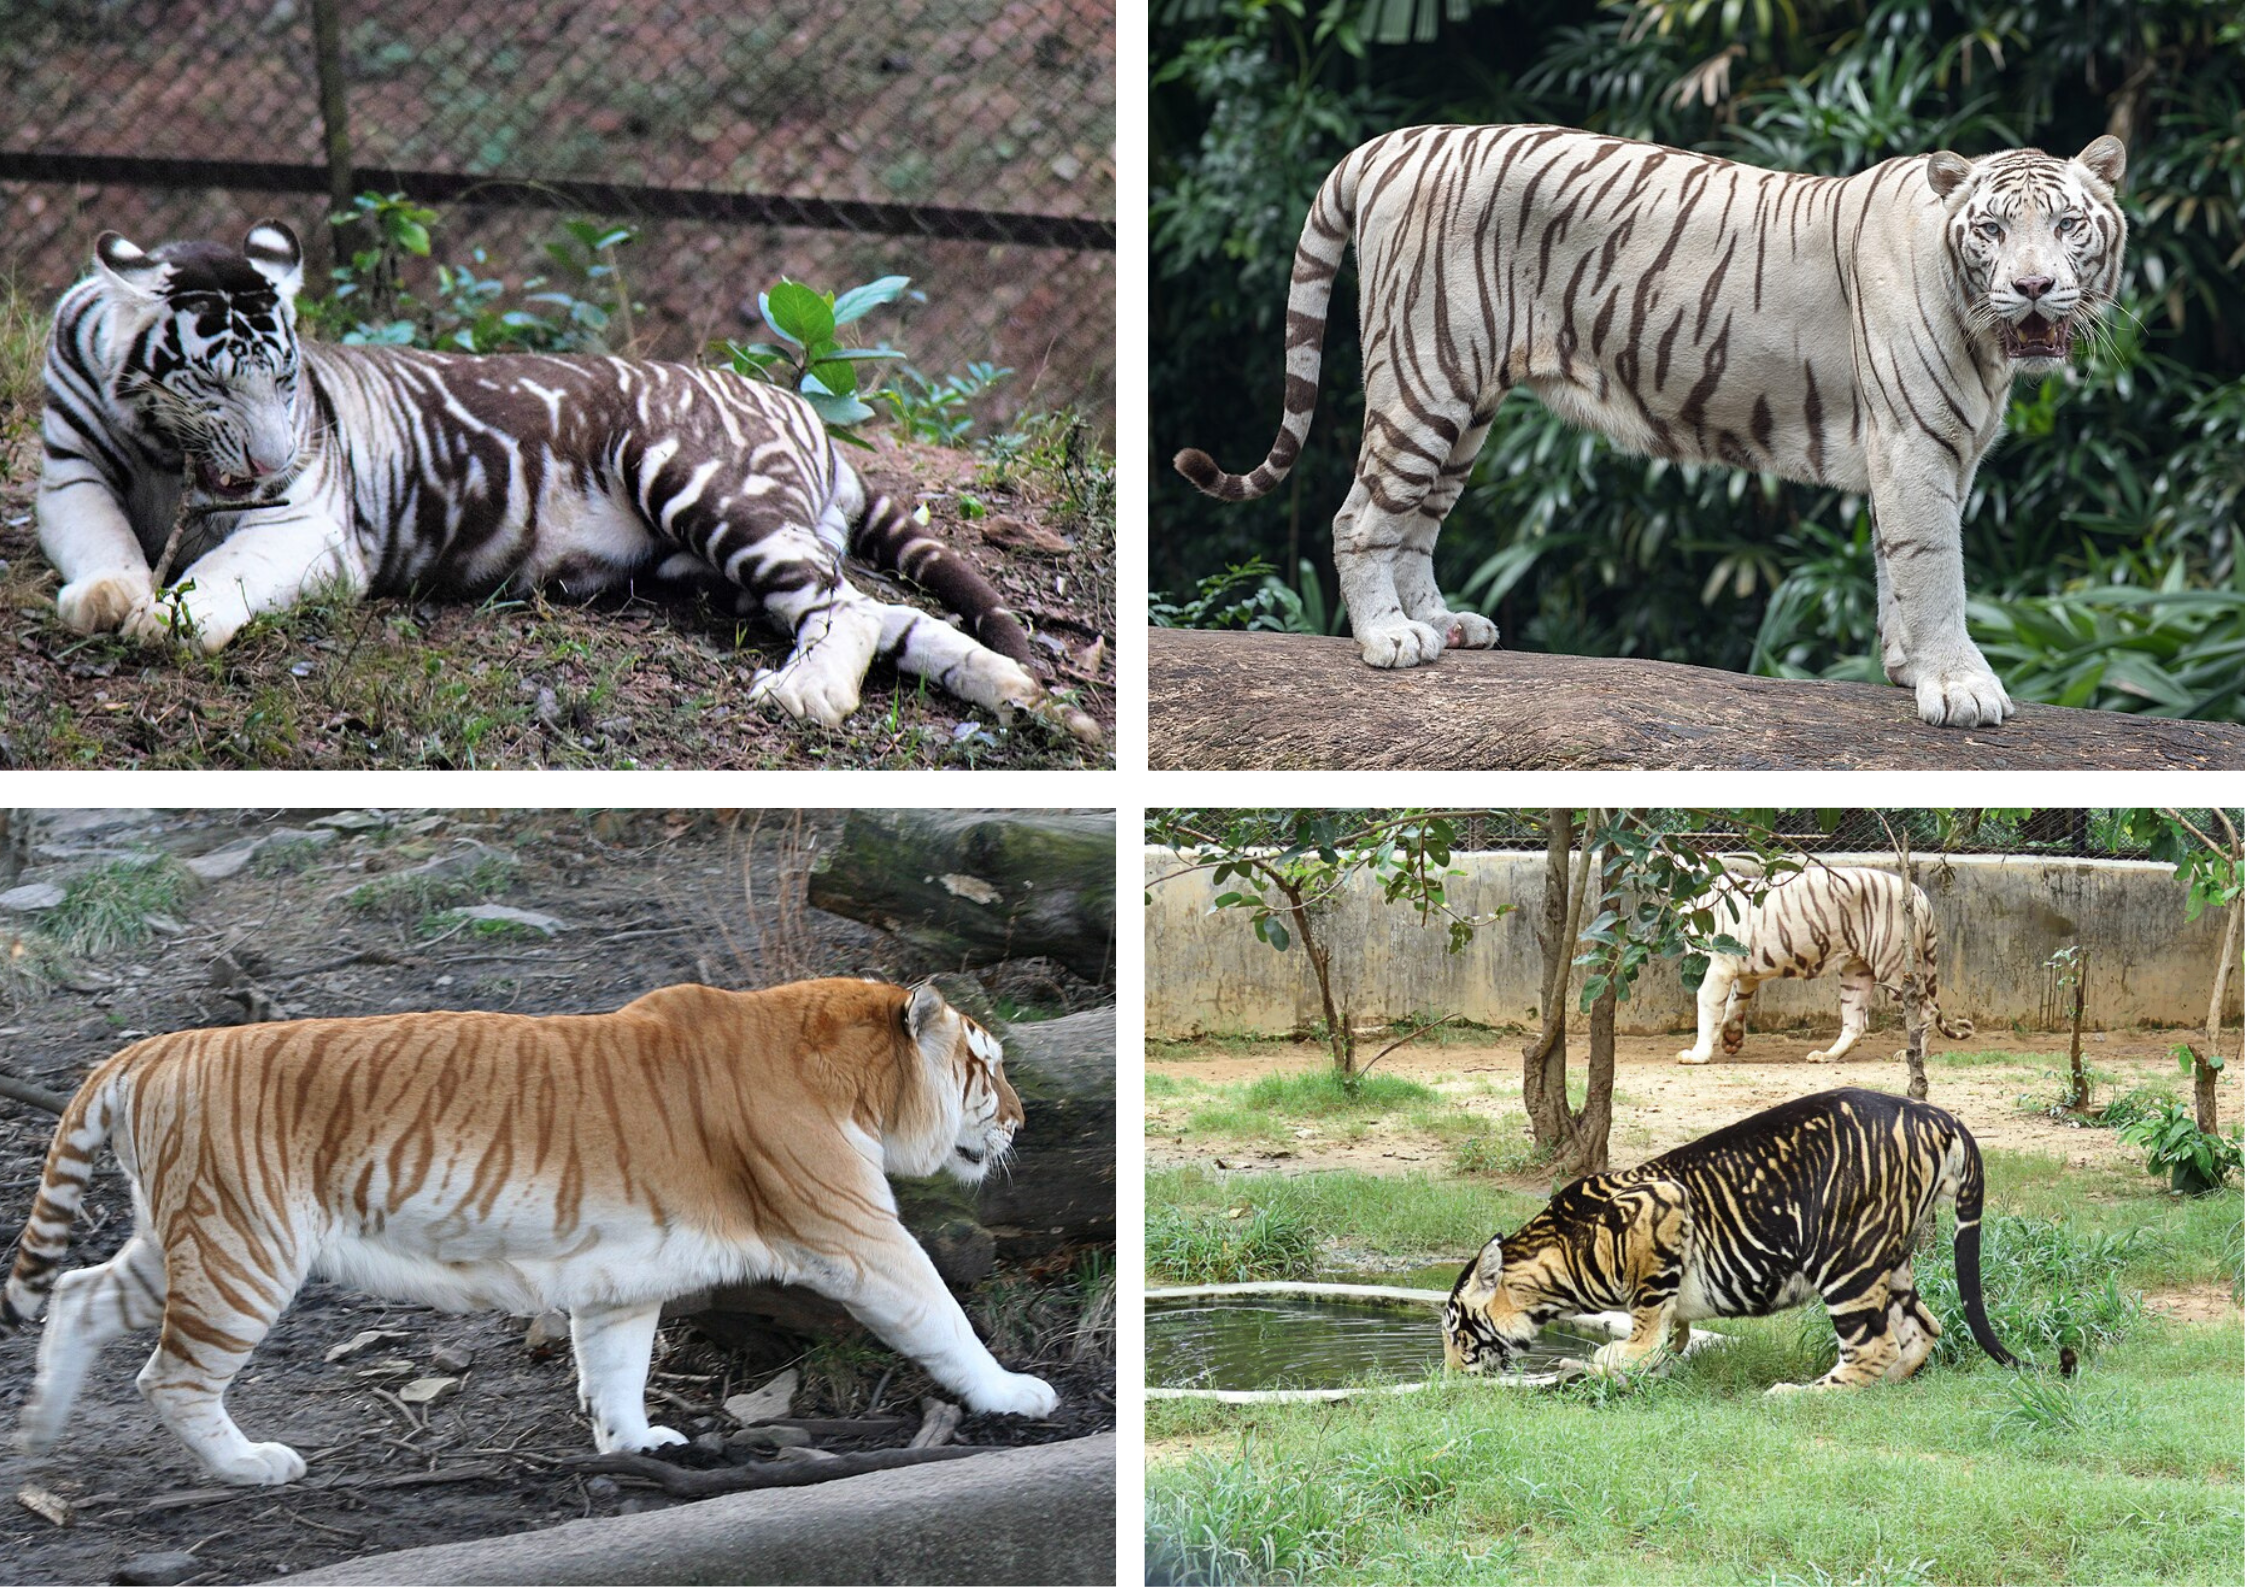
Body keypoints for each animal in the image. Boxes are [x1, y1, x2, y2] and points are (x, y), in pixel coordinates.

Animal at [2, 978, 1058, 1486]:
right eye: (985, 1064)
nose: (1022, 1119)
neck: (857, 1083)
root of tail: (152, 1047)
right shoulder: (858, 1234)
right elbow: (941, 1314)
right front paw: (1015, 1393)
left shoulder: (623, 1273)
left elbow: (616, 1366)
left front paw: (637, 1445)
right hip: (242, 1251)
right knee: (170, 1376)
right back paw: (249, 1466)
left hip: (185, 1238)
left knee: (79, 1294)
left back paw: (40, 1435)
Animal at [36, 221, 1098, 744]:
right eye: (216, 380)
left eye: (286, 382)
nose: (266, 460)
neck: (166, 447)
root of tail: (800, 413)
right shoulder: (68, 468)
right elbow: (98, 539)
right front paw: (109, 595)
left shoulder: (303, 522)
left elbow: (217, 577)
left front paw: (166, 617)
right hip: (720, 562)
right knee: (888, 613)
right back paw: (1027, 698)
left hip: (706, 486)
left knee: (850, 609)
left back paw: (808, 696)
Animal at [1174, 124, 2128, 729]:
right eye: (1992, 229)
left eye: (2067, 225)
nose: (2034, 288)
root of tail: (1390, 143)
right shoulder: (1916, 443)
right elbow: (1934, 569)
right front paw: (1959, 688)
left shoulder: (1924, 452)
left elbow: (1895, 565)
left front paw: (1904, 669)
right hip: (1425, 375)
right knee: (1360, 516)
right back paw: (1388, 639)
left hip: (1466, 401)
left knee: (1415, 522)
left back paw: (1442, 625)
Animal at [1443, 1087, 2018, 1391]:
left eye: (1456, 1332)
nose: (1449, 1375)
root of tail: (1935, 1114)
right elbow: (1667, 1333)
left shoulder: (1661, 1208)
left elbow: (1645, 1325)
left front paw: (1609, 1362)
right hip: (1889, 1259)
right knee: (1921, 1328)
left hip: (1846, 1256)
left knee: (1872, 1346)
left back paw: (1800, 1394)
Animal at [1675, 864, 1973, 1065]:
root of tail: (1920, 894)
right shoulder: (1743, 971)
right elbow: (1735, 1004)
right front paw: (1731, 1039)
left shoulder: (1717, 965)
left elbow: (1708, 1009)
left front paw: (1697, 1054)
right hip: (1856, 971)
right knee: (1855, 1023)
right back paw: (1826, 1055)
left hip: (1893, 966)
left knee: (1926, 1012)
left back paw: (1912, 1053)